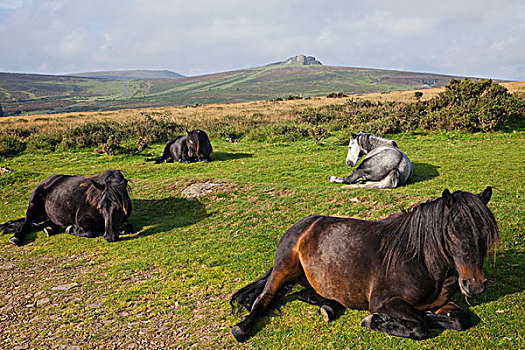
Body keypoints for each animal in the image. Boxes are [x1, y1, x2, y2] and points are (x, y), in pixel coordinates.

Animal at [1, 170, 133, 246]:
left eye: (120, 208)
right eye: (100, 206)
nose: (110, 237)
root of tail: (47, 181)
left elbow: (127, 228)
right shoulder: (83, 219)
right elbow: (91, 231)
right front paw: (71, 229)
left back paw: (49, 228)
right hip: (33, 206)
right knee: (26, 223)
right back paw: (16, 238)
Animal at [231, 187, 498, 344]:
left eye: (485, 232)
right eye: (452, 231)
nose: (475, 285)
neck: (421, 262)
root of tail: (305, 223)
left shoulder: (442, 303)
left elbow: (461, 320)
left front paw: (432, 316)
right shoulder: (384, 301)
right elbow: (420, 325)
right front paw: (377, 321)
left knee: (306, 294)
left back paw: (328, 307)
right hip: (284, 266)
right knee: (263, 299)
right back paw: (242, 328)